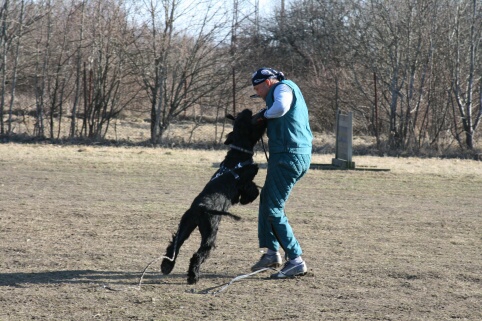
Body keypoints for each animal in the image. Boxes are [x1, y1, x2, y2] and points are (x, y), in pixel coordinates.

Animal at [161, 108, 268, 282]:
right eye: (244, 119)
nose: (247, 110)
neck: (238, 154)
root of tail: (201, 207)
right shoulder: (246, 180)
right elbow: (252, 189)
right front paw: (249, 198)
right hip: (210, 233)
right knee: (198, 254)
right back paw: (193, 276)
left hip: (186, 225)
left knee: (174, 245)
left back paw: (166, 266)